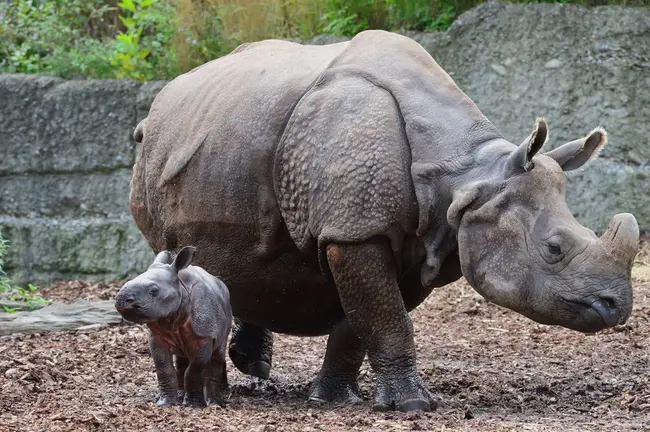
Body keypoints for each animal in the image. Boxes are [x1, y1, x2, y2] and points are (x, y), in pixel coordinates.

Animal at [115, 246, 232, 408]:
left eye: (154, 291)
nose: (121, 299)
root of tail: (220, 283)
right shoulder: (156, 335)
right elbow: (163, 368)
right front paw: (165, 403)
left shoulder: (204, 336)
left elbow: (194, 369)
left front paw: (193, 406)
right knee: (181, 359)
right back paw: (181, 395)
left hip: (227, 310)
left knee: (217, 354)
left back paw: (214, 403)